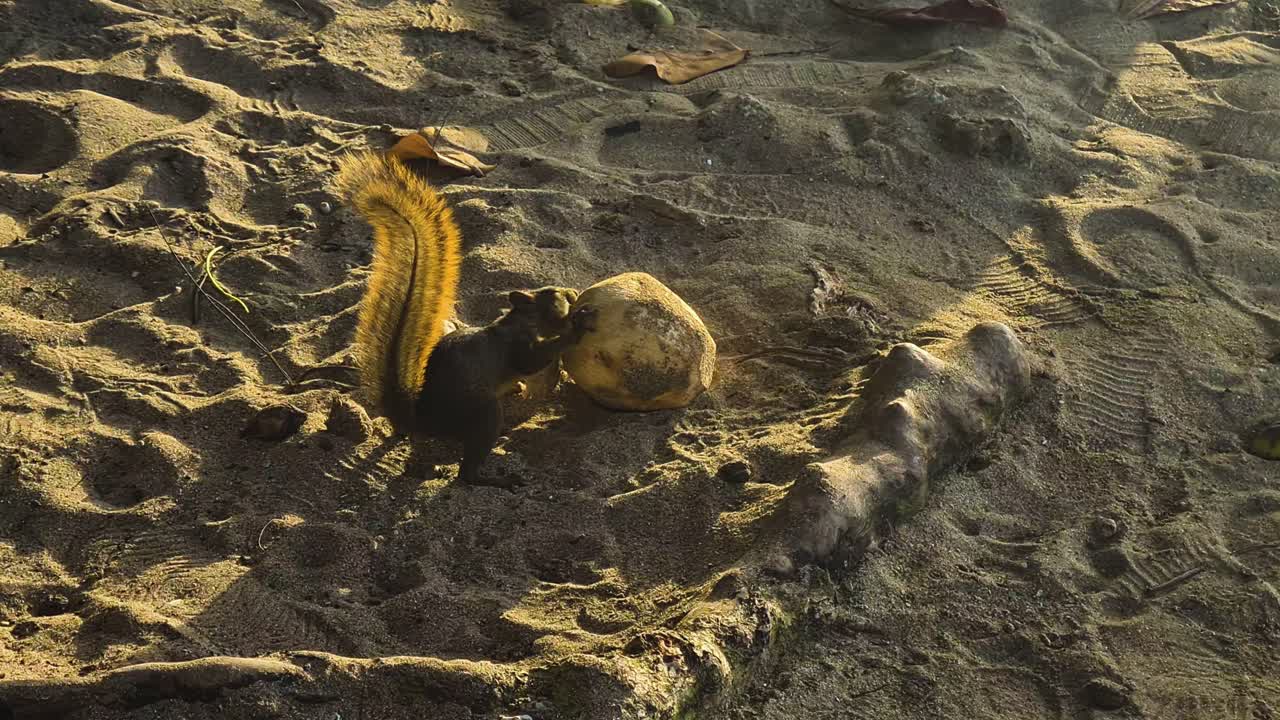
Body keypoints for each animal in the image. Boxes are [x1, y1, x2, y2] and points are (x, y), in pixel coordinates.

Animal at [332, 150, 593, 485]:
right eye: (555, 294)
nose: (573, 291)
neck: (523, 320)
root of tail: (423, 422)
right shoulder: (518, 345)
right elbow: (531, 361)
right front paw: (576, 327)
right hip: (484, 413)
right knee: (467, 473)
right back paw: (494, 478)